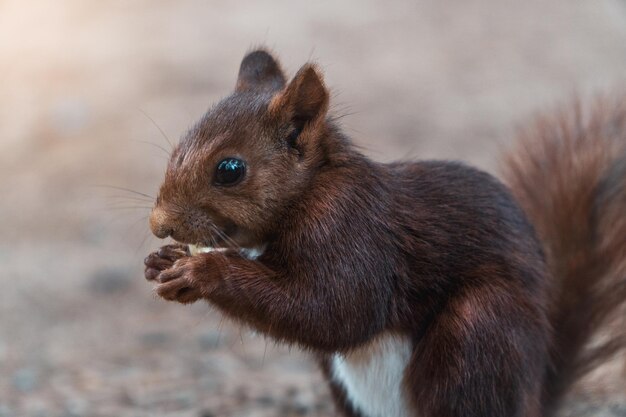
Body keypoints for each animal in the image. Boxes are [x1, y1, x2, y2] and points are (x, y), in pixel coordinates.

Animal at [143, 49, 624, 416]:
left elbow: (334, 310)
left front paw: (202, 273)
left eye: (230, 169)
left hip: (479, 330)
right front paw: (163, 261)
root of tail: (536, 393)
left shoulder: (355, 234)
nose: (159, 225)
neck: (313, 188)